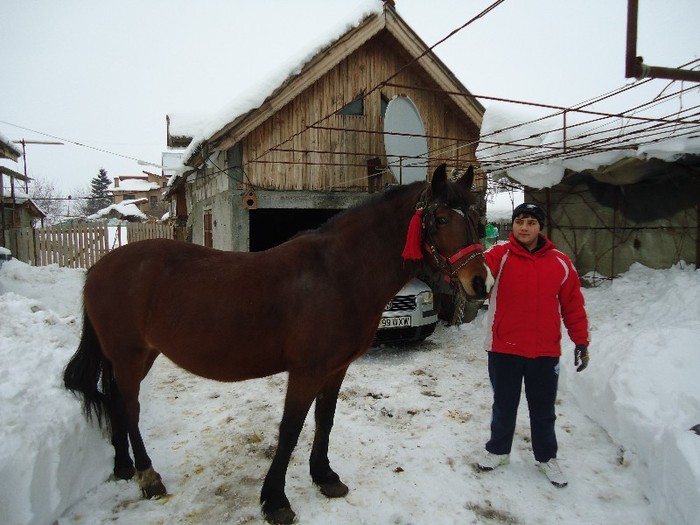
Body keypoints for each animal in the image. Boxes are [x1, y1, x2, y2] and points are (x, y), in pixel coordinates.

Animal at [64, 162, 492, 520]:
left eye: (475, 217)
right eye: (439, 218)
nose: (480, 283)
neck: (339, 275)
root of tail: (98, 268)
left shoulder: (336, 369)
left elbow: (324, 420)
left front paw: (325, 476)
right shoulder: (306, 372)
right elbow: (290, 429)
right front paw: (275, 500)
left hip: (138, 354)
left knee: (115, 400)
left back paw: (123, 466)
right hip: (129, 355)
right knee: (129, 406)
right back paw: (148, 476)